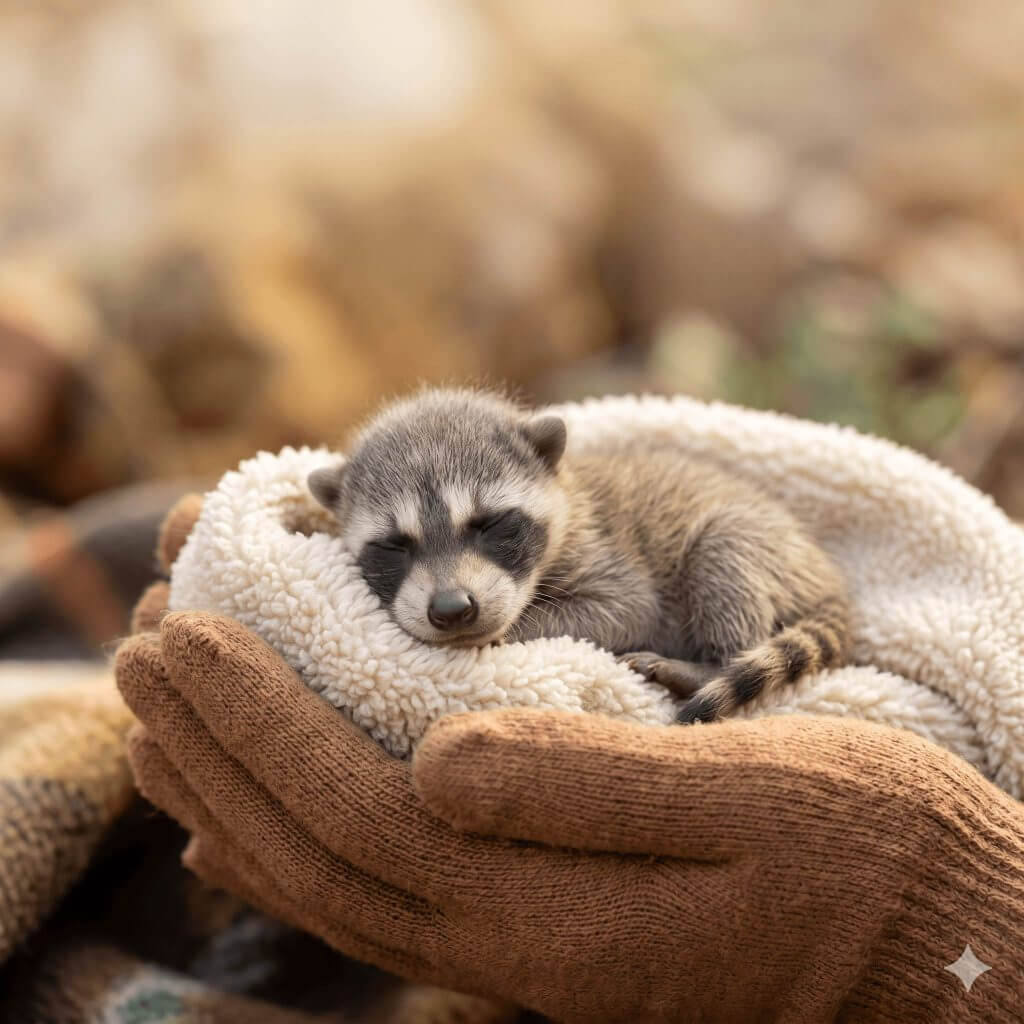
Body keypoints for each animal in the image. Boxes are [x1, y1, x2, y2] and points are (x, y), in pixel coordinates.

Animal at [308, 388, 851, 723]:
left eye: (490, 525)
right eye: (394, 546)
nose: (451, 610)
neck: (567, 498)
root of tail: (828, 580)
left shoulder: (602, 550)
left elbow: (629, 608)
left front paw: (512, 632)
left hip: (759, 545)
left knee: (725, 547)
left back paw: (713, 666)